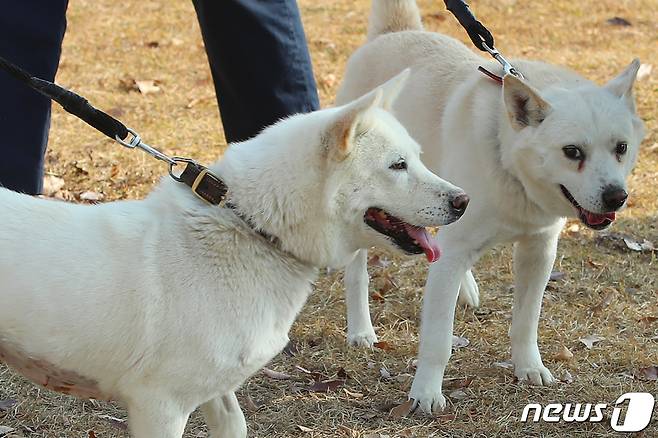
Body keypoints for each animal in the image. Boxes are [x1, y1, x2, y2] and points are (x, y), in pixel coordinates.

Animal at [0, 70, 466, 436]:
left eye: (418, 158)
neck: (252, 228)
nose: (463, 201)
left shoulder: (219, 393)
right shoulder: (160, 407)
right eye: (397, 165)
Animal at [336, 0, 644, 412]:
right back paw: (361, 331)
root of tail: (393, 33)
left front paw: (529, 368)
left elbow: (526, 322)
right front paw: (425, 394)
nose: (616, 197)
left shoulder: (538, 251)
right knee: (358, 273)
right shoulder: (458, 245)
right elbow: (437, 340)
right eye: (572, 152)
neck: (509, 164)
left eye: (621, 147)